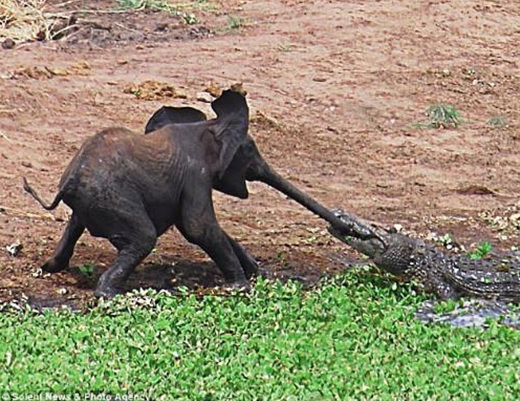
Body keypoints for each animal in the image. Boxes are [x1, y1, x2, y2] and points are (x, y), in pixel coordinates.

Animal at [22, 90, 368, 296]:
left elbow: (207, 229)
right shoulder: (195, 174)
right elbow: (198, 227)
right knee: (143, 238)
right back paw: (110, 294)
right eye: (249, 149)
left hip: (94, 200)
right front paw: (242, 287)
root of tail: (68, 182)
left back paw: (51, 268)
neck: (208, 128)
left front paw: (260, 274)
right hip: (112, 197)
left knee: (75, 226)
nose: (348, 227)